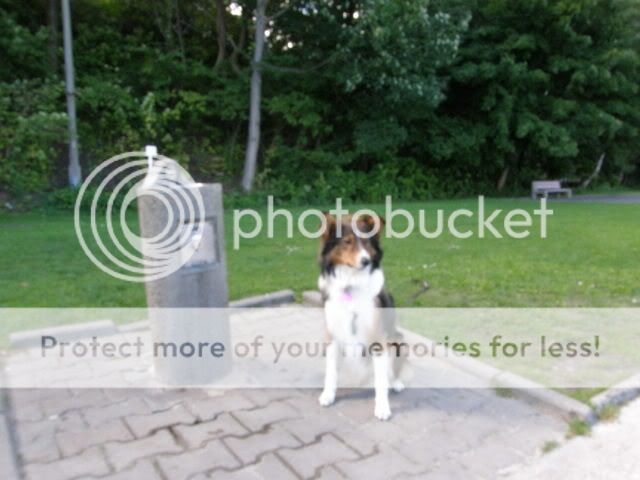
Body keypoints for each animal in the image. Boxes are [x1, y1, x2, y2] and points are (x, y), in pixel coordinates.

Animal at [317, 213, 405, 420]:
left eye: (366, 242)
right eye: (347, 242)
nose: (366, 261)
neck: (352, 283)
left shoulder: (378, 337)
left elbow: (381, 380)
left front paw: (382, 408)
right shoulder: (332, 335)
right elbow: (331, 371)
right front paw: (328, 395)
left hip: (397, 339)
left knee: (391, 371)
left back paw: (396, 383)